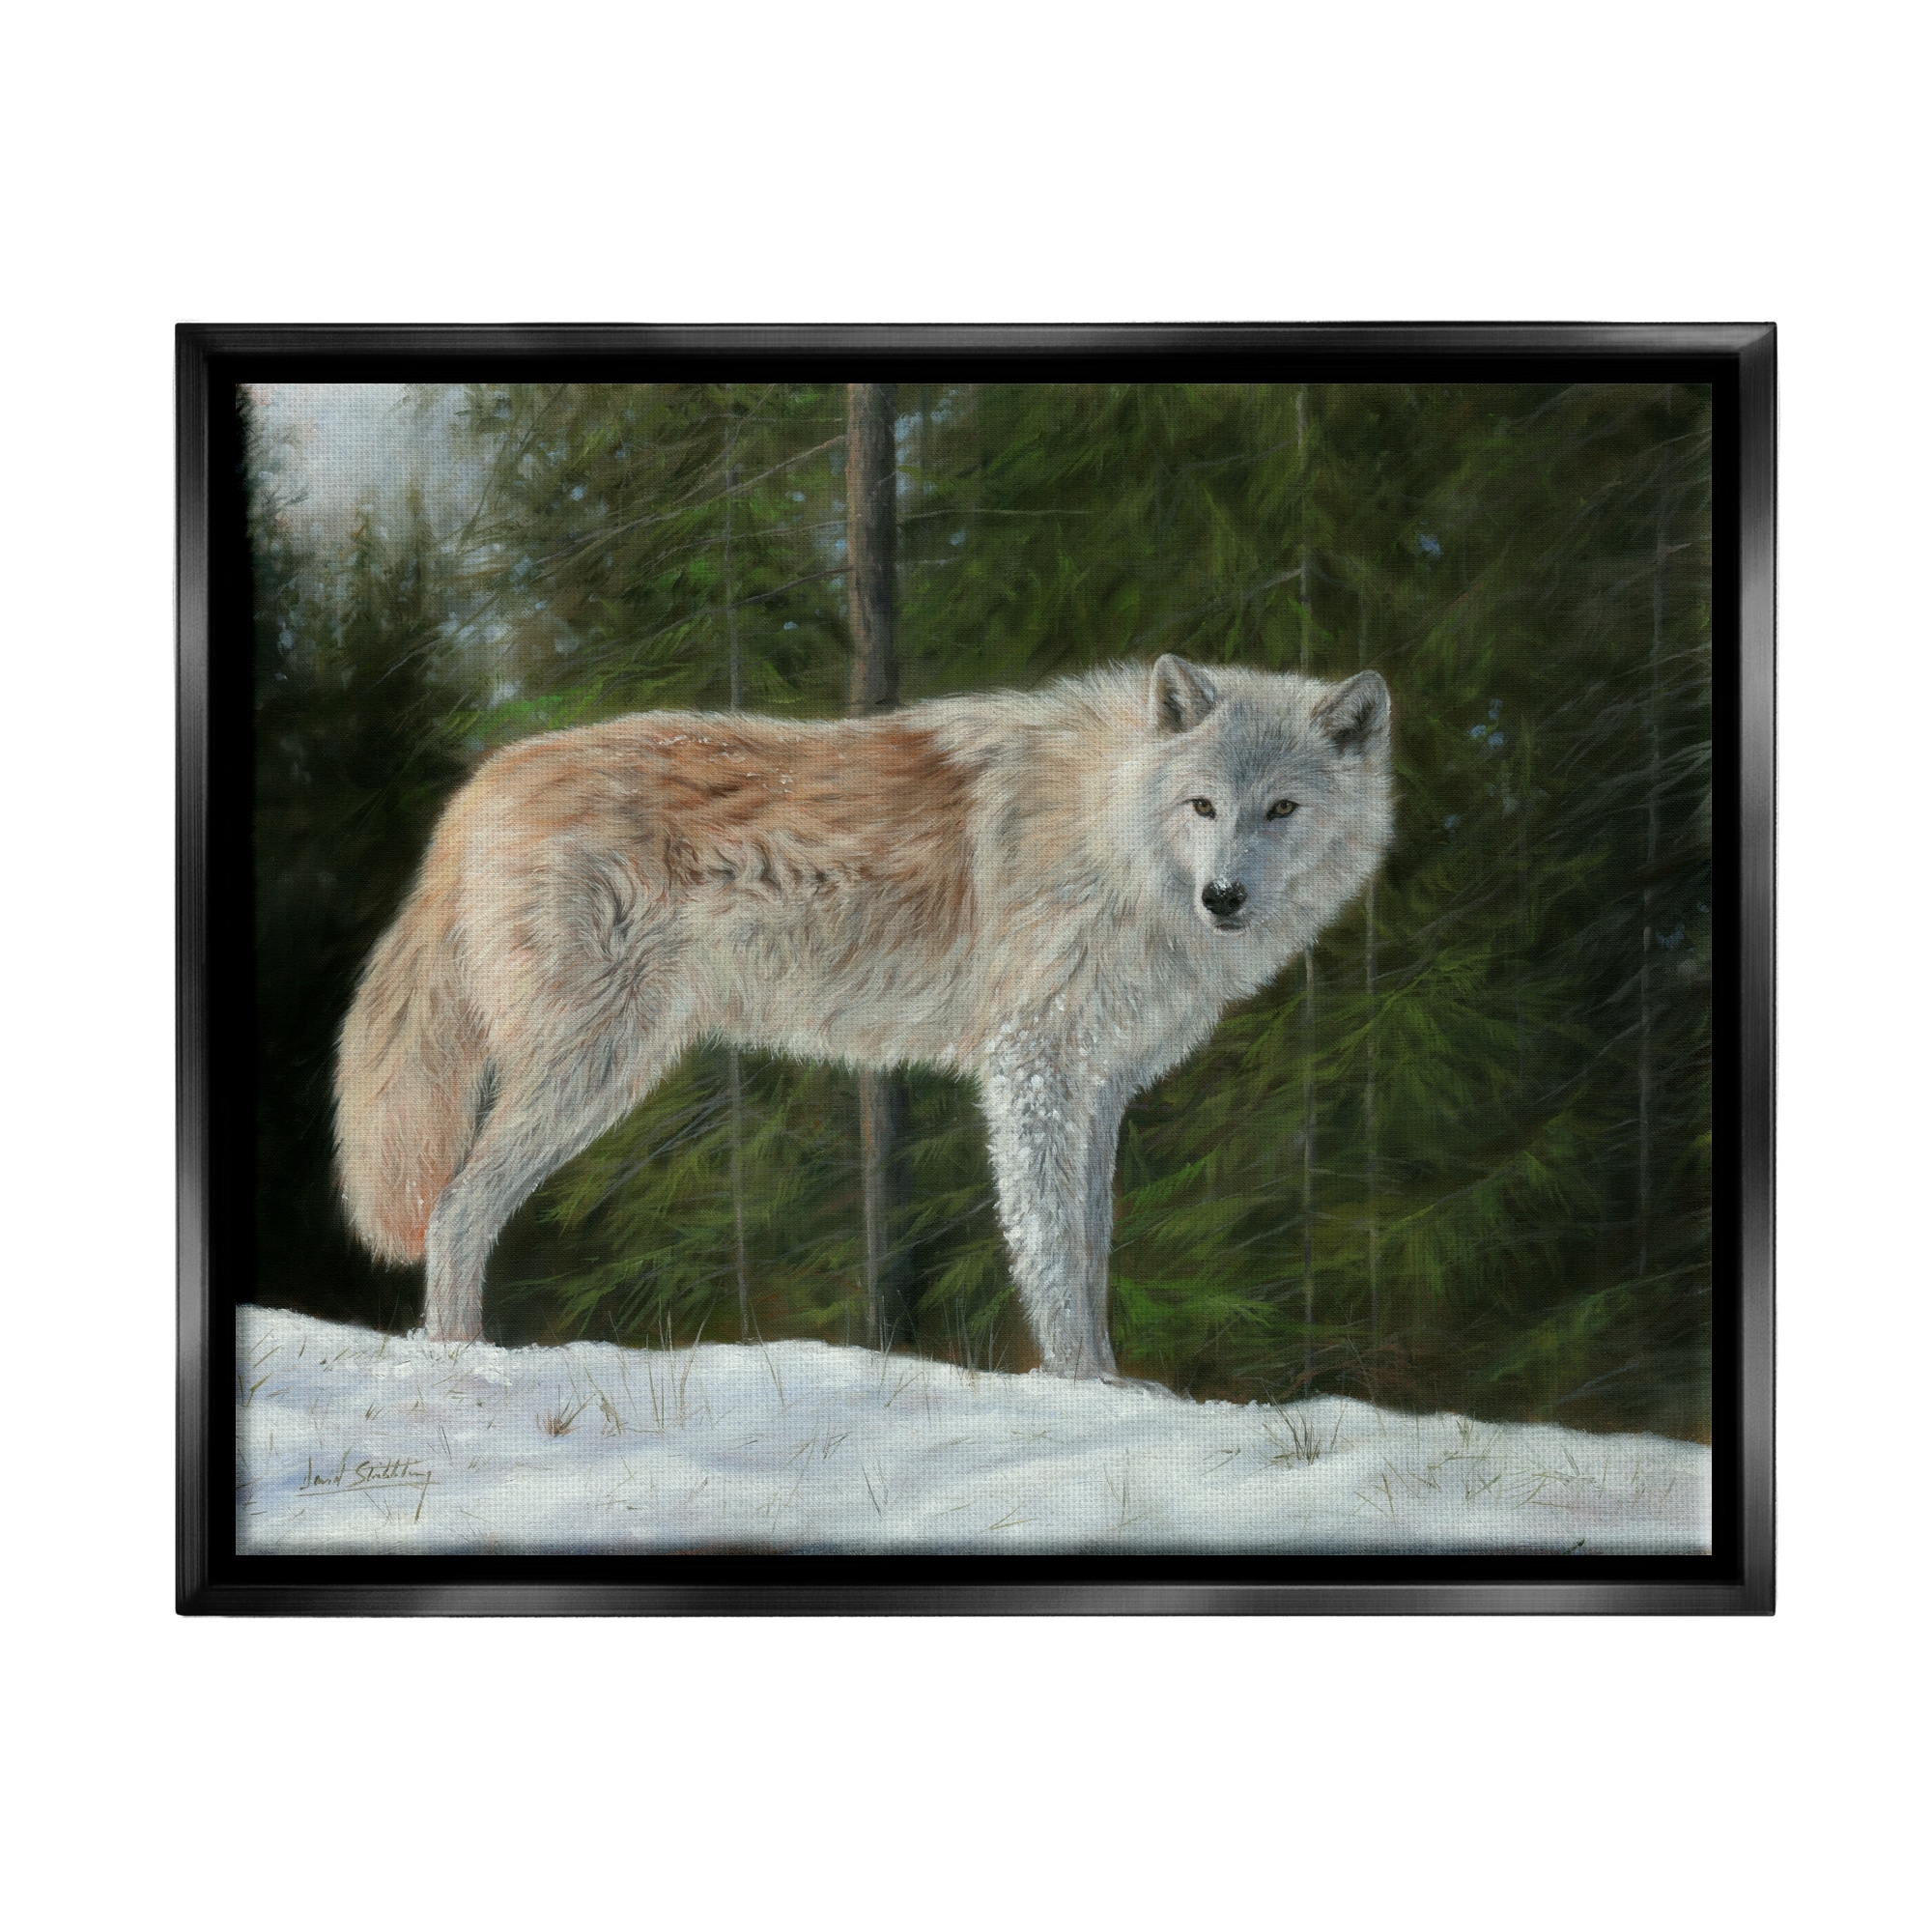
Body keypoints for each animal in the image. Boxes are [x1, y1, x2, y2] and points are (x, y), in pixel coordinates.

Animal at [334, 654, 1393, 1379]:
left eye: (1282, 809)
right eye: (1203, 805)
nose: (1224, 897)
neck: (1112, 830)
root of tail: (483, 783)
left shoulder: (1099, 1086)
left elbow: (1090, 1251)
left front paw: (1112, 1385)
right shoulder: (1032, 1068)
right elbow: (1052, 1253)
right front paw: (1085, 1388)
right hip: (592, 1069)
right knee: (456, 1210)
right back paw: (463, 1363)